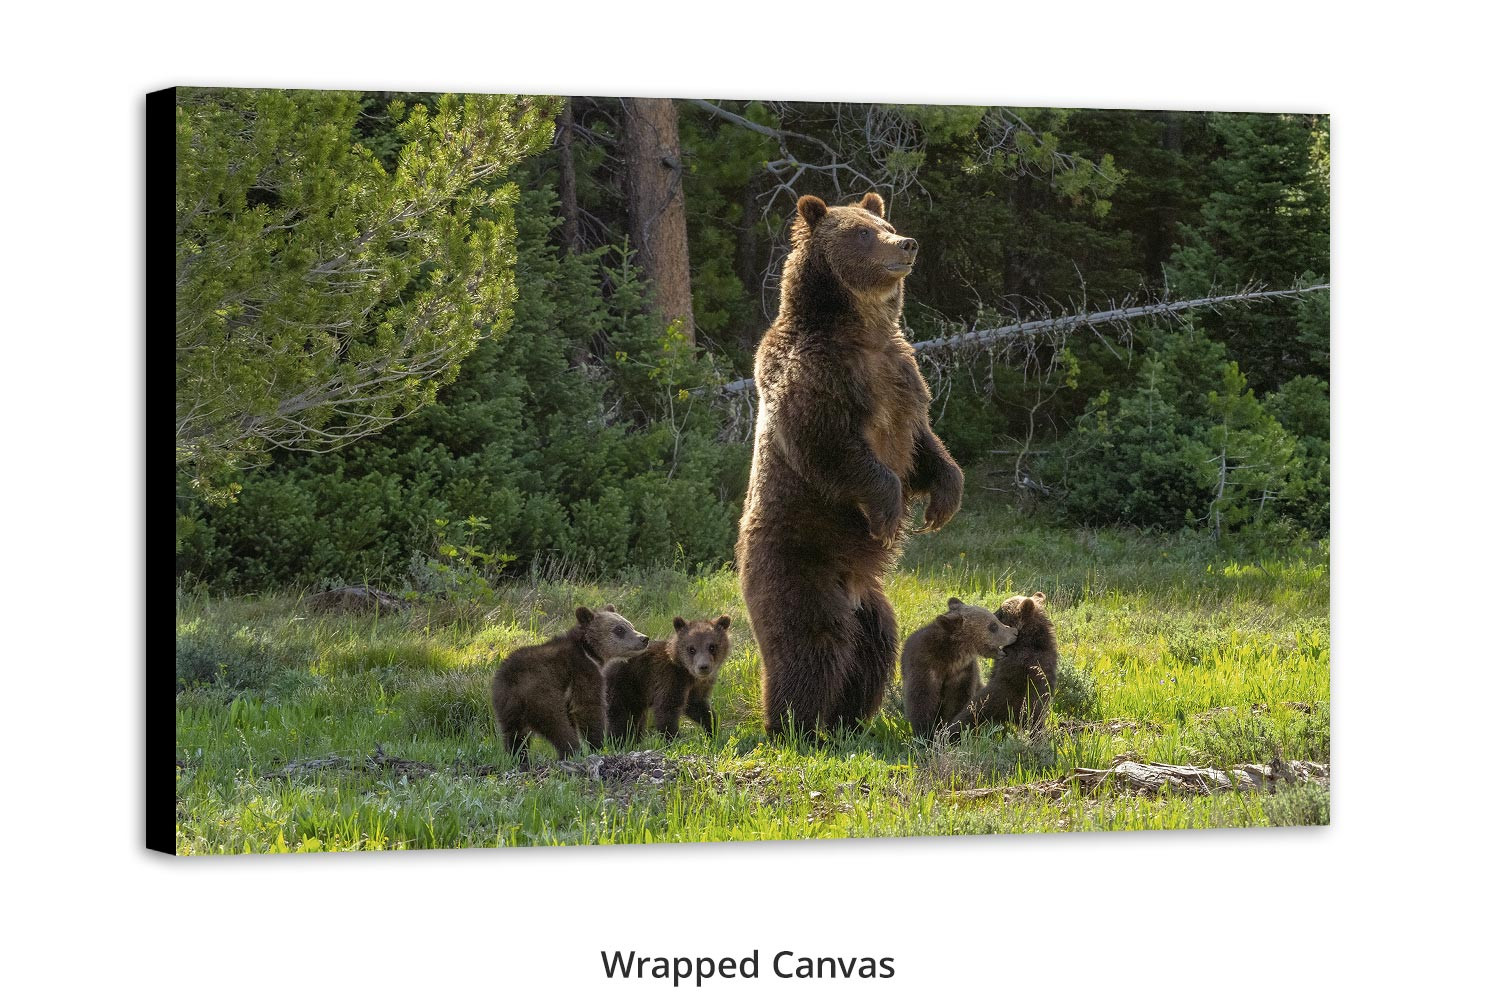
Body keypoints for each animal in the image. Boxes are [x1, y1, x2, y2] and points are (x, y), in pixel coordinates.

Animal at [490, 604, 649, 764]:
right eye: (619, 629)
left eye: (630, 625)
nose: (644, 639)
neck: (589, 651)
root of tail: (513, 684)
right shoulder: (581, 671)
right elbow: (588, 707)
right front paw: (598, 745)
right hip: (541, 694)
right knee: (558, 726)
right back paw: (572, 751)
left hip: (505, 705)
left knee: (514, 735)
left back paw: (519, 758)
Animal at [736, 191, 964, 736]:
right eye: (862, 233)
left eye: (887, 224)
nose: (907, 243)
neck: (861, 330)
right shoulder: (816, 376)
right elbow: (832, 447)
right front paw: (889, 510)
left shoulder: (902, 375)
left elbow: (924, 445)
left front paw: (942, 501)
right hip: (798, 565)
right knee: (812, 642)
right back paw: (793, 724)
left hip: (871, 602)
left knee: (874, 646)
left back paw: (850, 719)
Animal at [901, 597, 1018, 738]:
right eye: (993, 626)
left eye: (996, 620)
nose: (1015, 632)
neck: (951, 656)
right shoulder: (925, 667)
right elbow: (921, 703)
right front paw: (927, 734)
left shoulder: (962, 673)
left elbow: (957, 703)